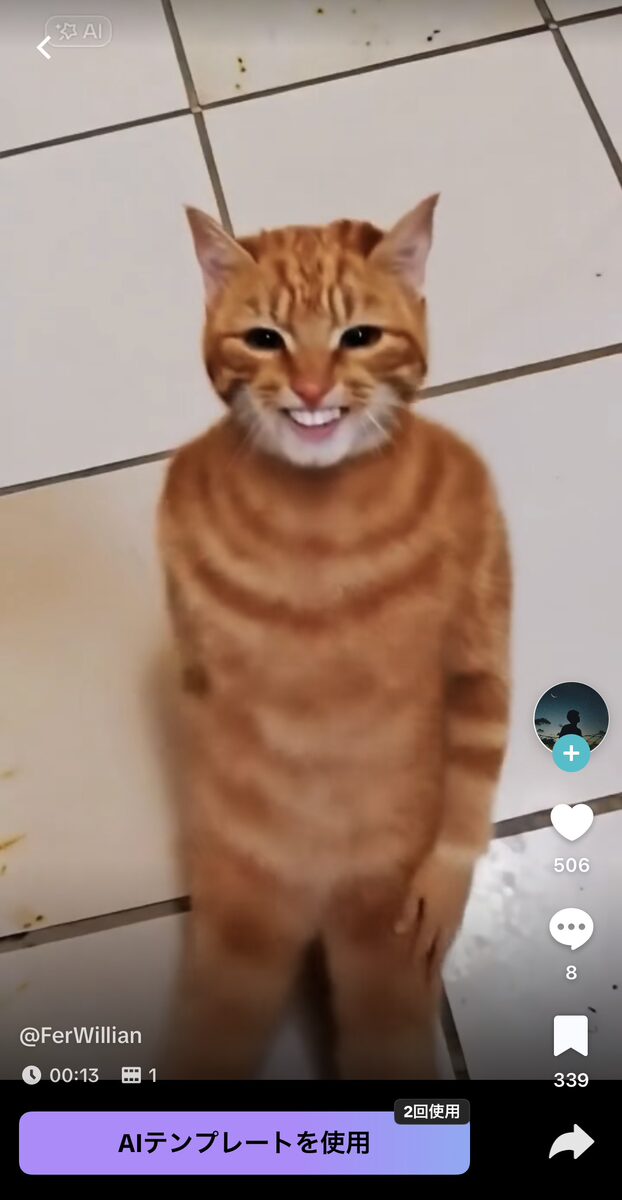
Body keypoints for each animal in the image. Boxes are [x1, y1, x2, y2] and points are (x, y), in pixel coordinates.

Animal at [158, 195, 511, 1080]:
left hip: (377, 941)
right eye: (264, 339)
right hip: (240, 940)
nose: (312, 388)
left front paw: (451, 870)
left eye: (360, 336)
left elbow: (480, 707)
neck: (317, 513)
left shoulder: (481, 579)